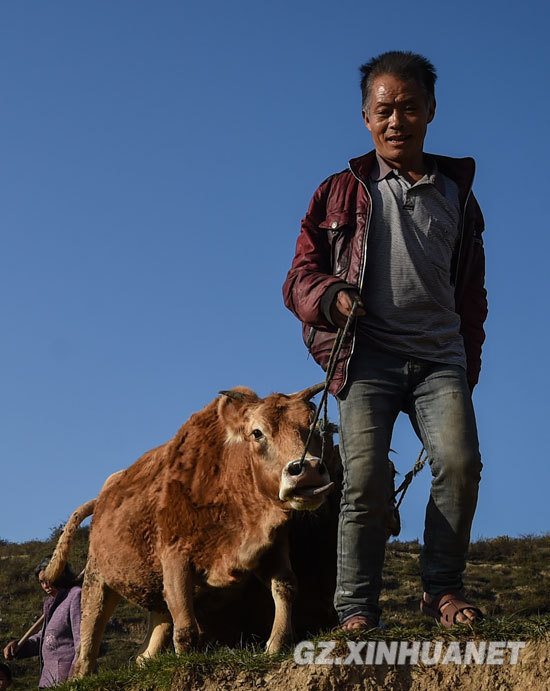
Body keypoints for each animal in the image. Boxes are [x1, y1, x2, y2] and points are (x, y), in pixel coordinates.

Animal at [45, 386, 336, 680]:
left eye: (314, 427)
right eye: (257, 432)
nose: (307, 470)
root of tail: (102, 498)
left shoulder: (272, 547)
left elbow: (285, 587)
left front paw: (276, 644)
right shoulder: (176, 559)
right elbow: (185, 629)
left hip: (154, 593)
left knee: (144, 653)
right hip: (97, 581)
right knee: (86, 649)